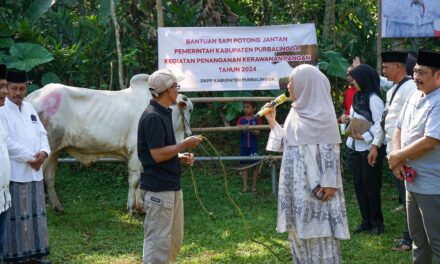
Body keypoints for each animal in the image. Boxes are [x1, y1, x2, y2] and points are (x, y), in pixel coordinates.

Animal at [26, 73, 192, 213]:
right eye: (190, 110)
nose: (189, 134)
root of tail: (31, 97)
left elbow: (142, 182)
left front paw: (141, 208)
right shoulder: (135, 153)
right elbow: (134, 181)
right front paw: (131, 208)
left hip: (54, 151)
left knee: (49, 178)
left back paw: (58, 207)